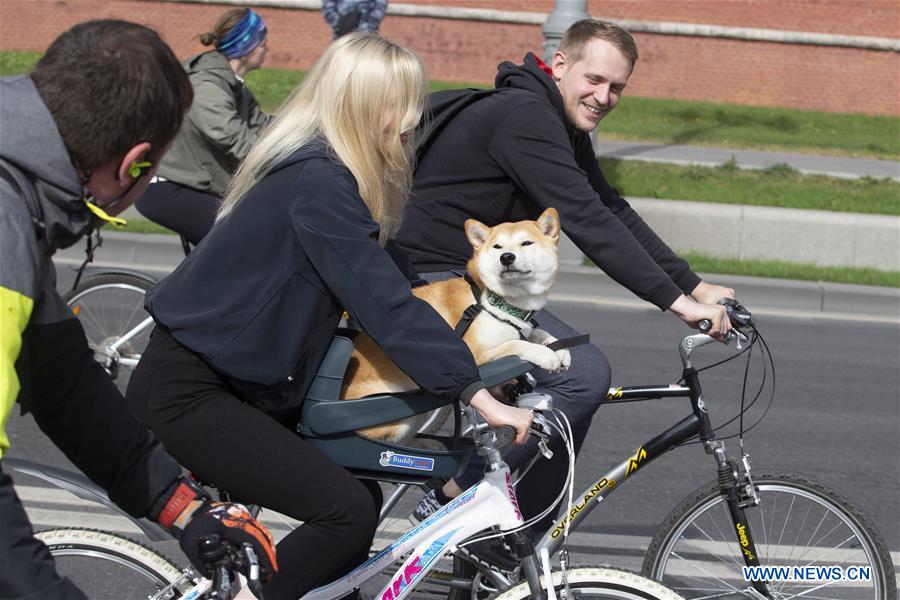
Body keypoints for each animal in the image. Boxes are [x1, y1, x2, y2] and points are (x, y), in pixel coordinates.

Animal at [342, 209, 572, 442]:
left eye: (526, 243)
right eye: (497, 247)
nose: (506, 257)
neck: (492, 300)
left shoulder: (519, 326)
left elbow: (535, 332)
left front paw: (560, 349)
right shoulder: (474, 354)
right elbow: (517, 344)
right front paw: (546, 355)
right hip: (401, 419)